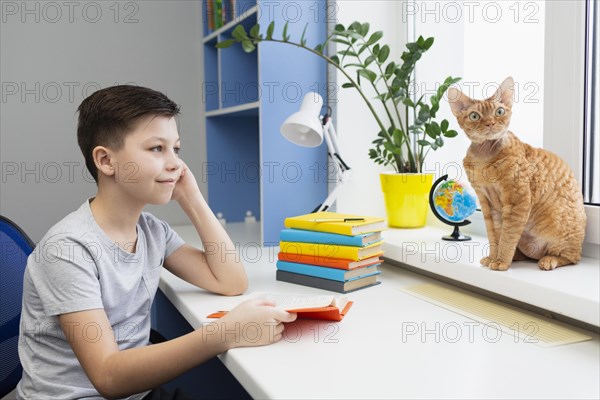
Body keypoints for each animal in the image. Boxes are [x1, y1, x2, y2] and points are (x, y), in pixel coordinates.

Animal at [448, 76, 584, 270]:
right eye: (475, 116)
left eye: (499, 112)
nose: (490, 123)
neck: (484, 160)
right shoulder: (486, 202)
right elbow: (494, 235)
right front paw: (493, 257)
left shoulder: (518, 201)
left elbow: (508, 235)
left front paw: (501, 262)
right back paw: (516, 256)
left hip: (562, 229)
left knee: (571, 257)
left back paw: (548, 260)